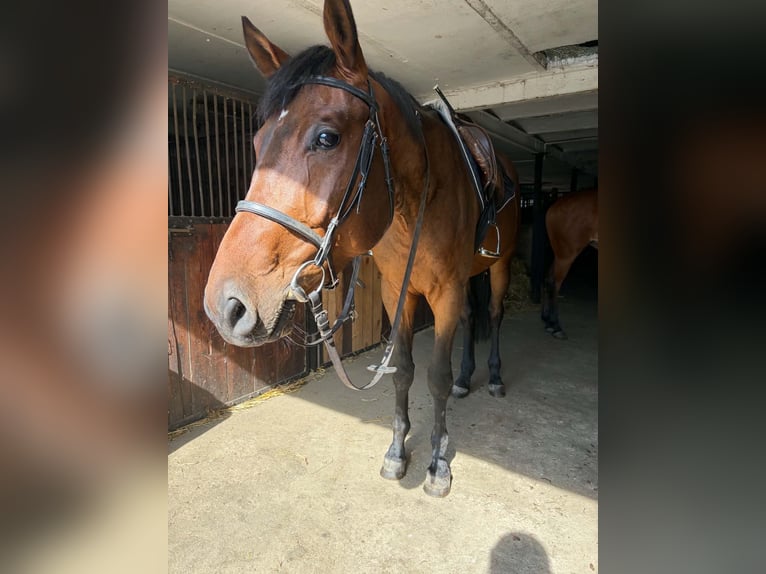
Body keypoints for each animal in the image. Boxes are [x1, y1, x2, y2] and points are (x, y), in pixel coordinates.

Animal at [204, 0, 520, 497]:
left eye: (326, 137)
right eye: (257, 142)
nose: (225, 306)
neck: (419, 202)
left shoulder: (444, 293)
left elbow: (436, 376)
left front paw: (438, 464)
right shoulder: (398, 292)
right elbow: (403, 370)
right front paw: (396, 452)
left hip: (499, 267)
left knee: (493, 313)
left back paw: (493, 377)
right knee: (473, 318)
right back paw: (470, 378)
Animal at [541, 188, 598, 339]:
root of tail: (553, 207)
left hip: (559, 255)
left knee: (548, 278)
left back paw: (547, 321)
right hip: (566, 256)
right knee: (555, 283)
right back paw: (556, 326)